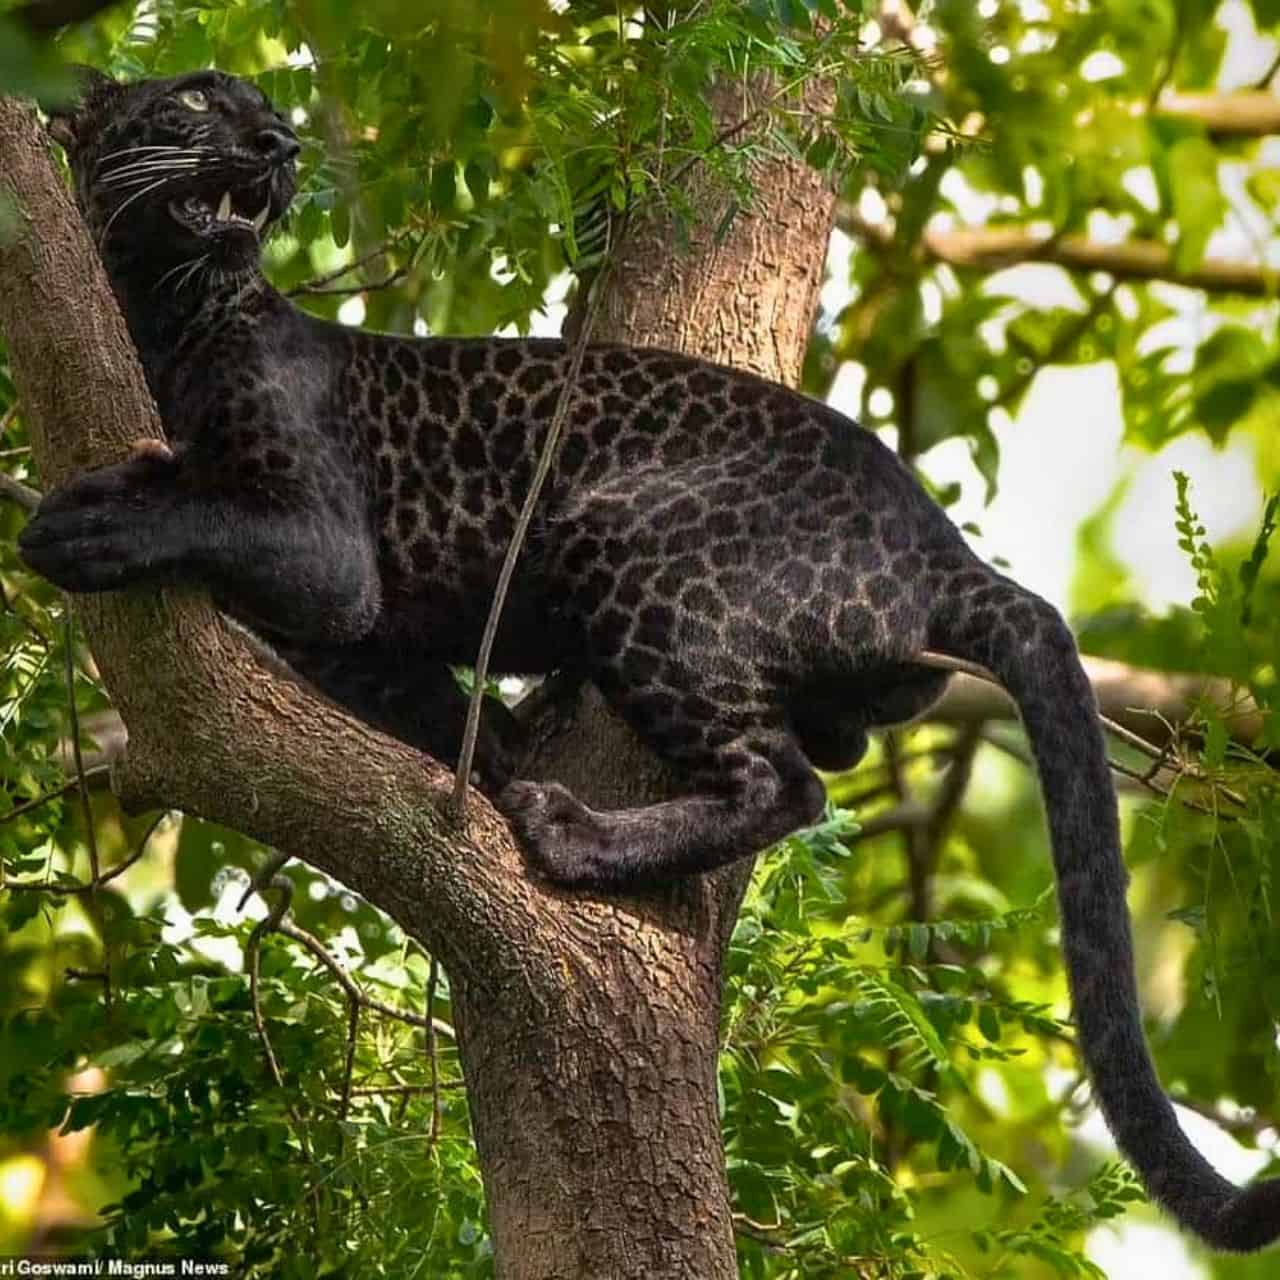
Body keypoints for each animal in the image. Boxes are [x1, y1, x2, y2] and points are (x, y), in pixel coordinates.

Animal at [13, 66, 1278, 1251]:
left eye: (263, 108)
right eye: (197, 99)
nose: (275, 143)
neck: (162, 311)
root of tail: (942, 547)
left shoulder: (326, 548)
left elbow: (202, 505)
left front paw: (88, 525)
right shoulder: (351, 631)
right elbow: (422, 701)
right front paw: (492, 743)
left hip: (622, 540)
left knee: (786, 782)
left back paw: (576, 833)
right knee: (830, 745)